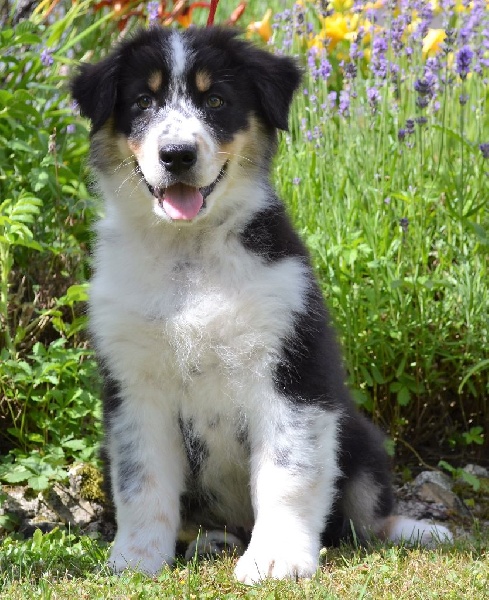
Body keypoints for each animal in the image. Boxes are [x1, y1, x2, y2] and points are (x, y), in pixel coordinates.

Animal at [71, 26, 452, 583]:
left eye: (215, 101)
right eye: (142, 101)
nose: (177, 155)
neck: (190, 254)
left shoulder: (291, 369)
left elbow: (288, 473)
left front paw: (275, 559)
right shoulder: (134, 386)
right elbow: (141, 482)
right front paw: (136, 558)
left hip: (357, 433)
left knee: (366, 512)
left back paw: (418, 531)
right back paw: (211, 540)